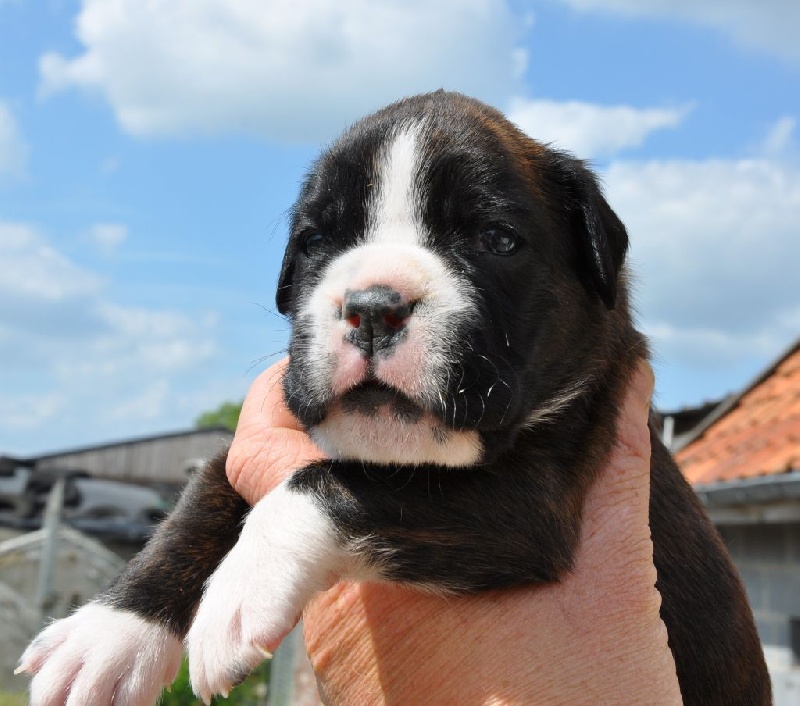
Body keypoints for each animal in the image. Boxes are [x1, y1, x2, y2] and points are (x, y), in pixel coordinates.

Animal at [19, 91, 770, 705]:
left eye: (497, 239)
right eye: (316, 241)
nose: (373, 306)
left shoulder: (528, 501)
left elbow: (331, 483)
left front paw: (241, 588)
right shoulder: (256, 436)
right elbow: (200, 500)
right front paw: (110, 634)